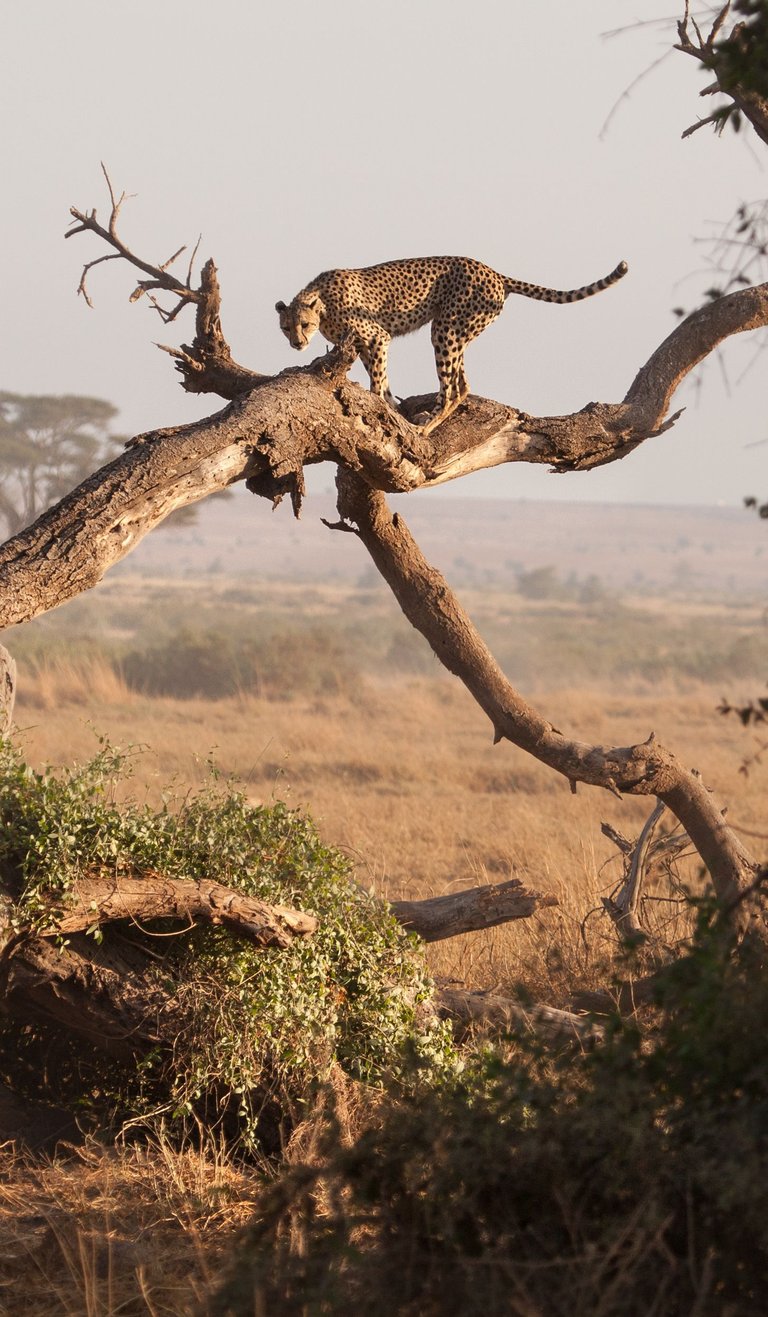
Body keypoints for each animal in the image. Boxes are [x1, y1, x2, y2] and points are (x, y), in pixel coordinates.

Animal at [279, 259, 627, 434]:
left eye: (304, 325)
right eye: (285, 328)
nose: (297, 343)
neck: (322, 305)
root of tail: (495, 272)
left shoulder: (377, 336)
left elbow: (378, 382)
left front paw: (380, 408)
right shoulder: (363, 344)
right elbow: (384, 381)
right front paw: (392, 408)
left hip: (444, 329)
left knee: (450, 389)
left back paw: (425, 426)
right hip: (456, 332)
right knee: (462, 386)